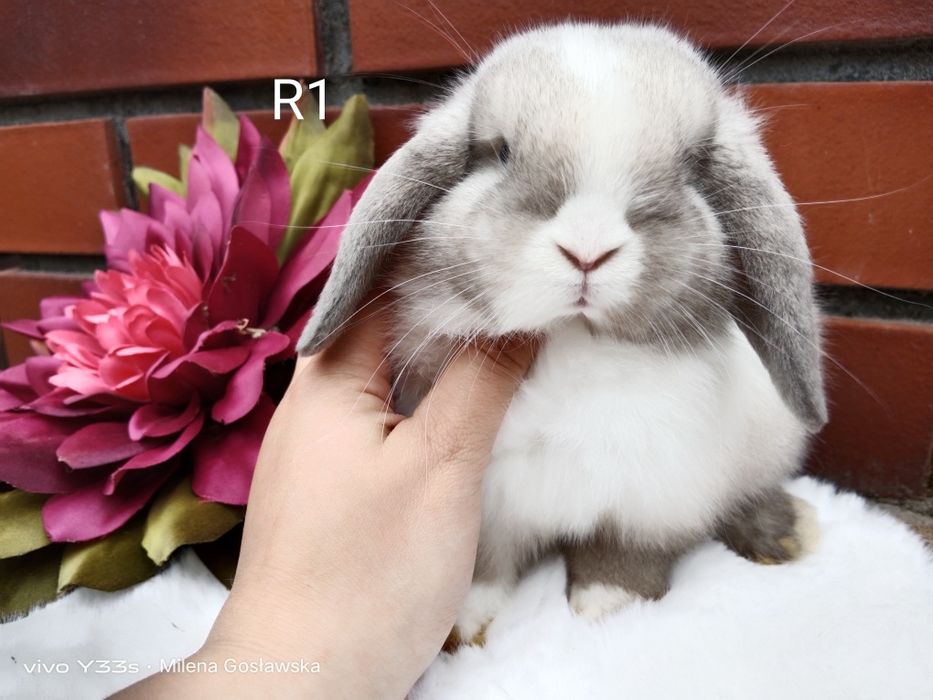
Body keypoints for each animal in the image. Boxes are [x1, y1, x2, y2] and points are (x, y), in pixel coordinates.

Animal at [296, 21, 824, 644]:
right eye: (500, 151)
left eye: (693, 167)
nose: (588, 251)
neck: (573, 343)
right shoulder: (484, 504)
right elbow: (482, 567)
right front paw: (467, 624)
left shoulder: (652, 501)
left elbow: (625, 556)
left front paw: (608, 607)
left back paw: (785, 534)